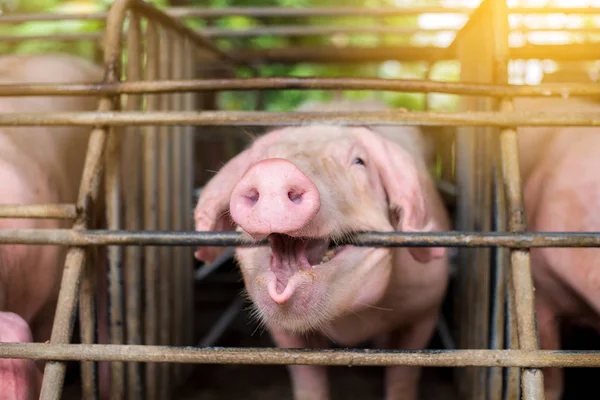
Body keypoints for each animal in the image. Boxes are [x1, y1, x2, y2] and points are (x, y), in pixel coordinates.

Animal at [193, 97, 450, 400]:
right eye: (262, 158)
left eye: (359, 161)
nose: (274, 169)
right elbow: (307, 378)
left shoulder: (425, 308)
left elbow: (403, 376)